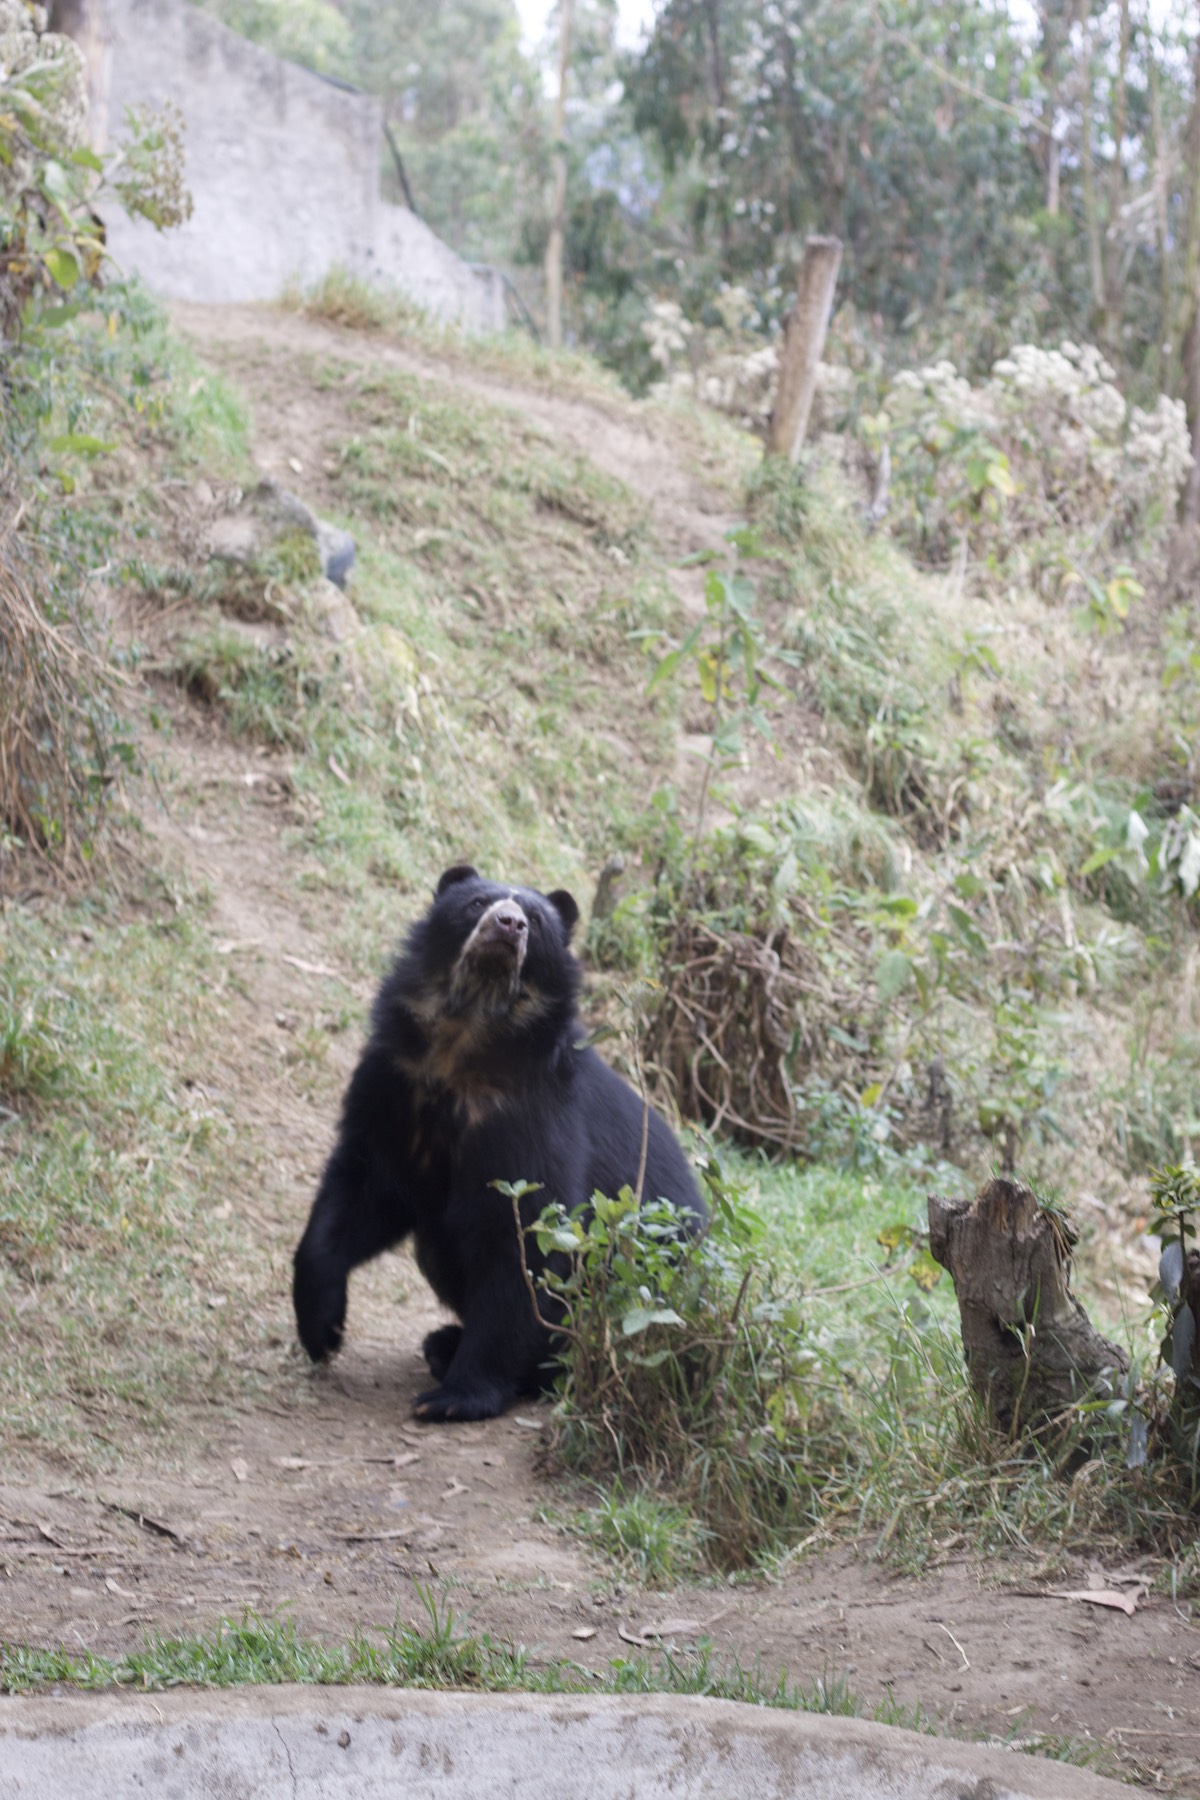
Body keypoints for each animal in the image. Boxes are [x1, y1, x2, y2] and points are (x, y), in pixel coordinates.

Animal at [292, 864, 706, 1422]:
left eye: (535, 919)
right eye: (477, 904)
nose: (508, 925)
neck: (468, 1036)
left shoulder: (533, 1121)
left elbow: (526, 1242)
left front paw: (454, 1399)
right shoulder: (393, 1086)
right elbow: (360, 1190)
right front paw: (322, 1330)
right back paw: (442, 1343)